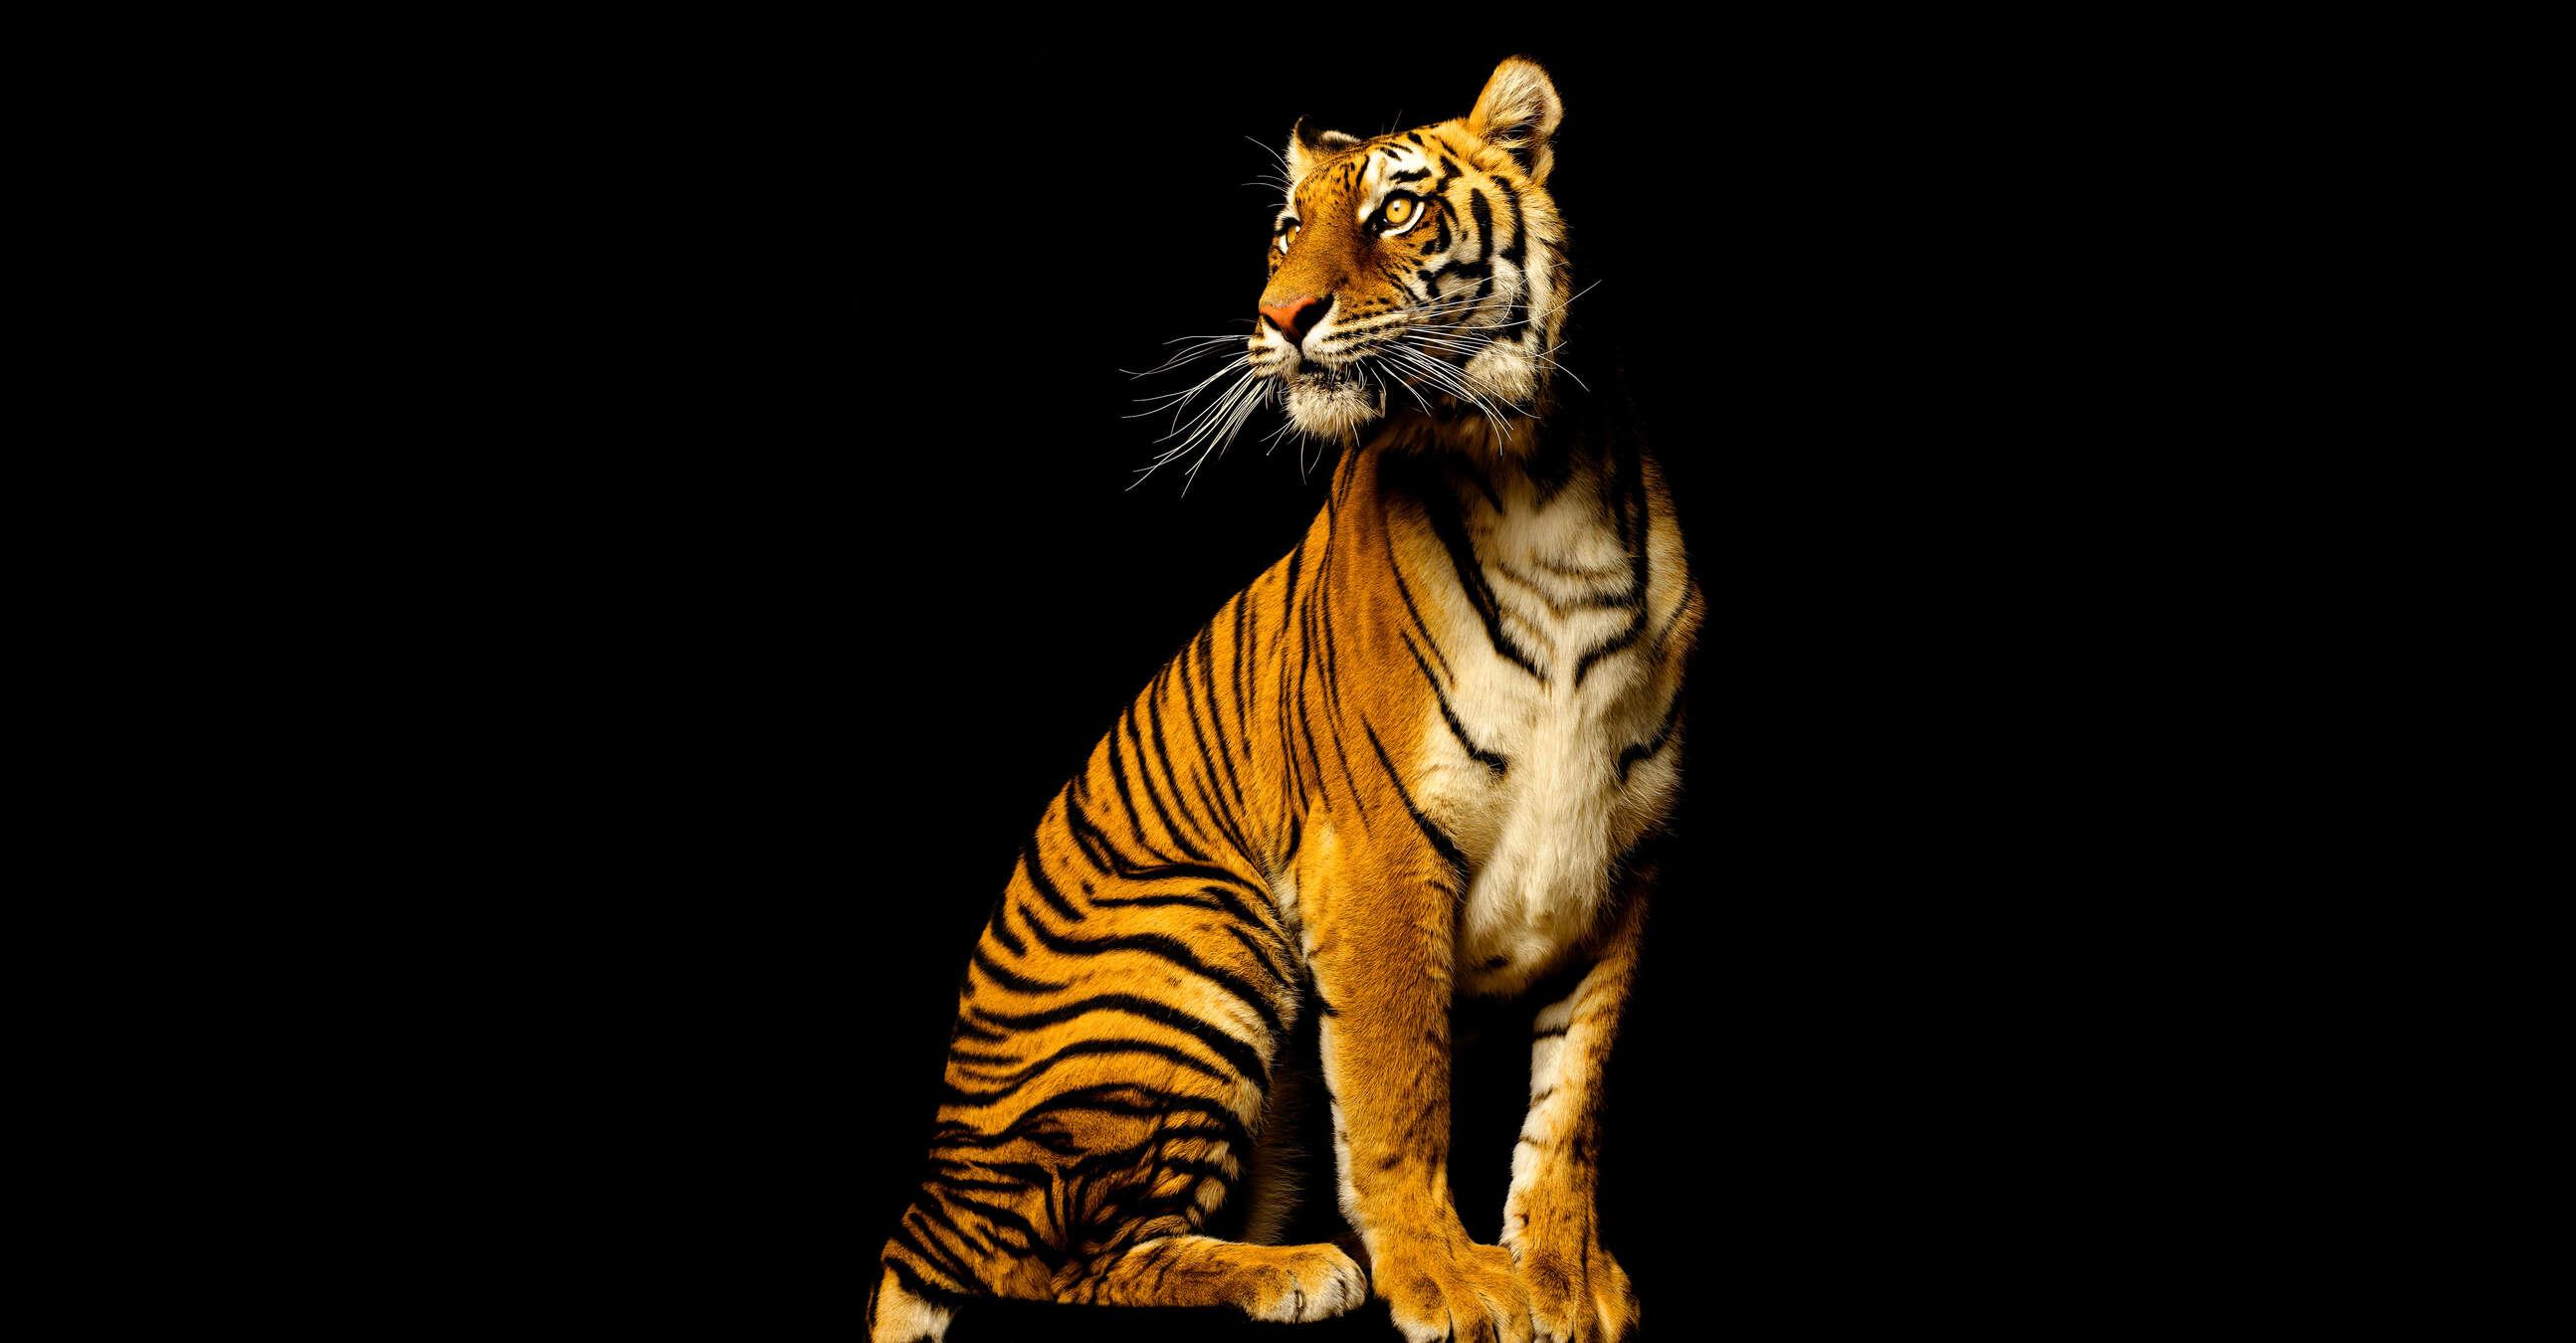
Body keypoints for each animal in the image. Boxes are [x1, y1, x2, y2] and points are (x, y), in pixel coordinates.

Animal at [867, 56, 1699, 1343]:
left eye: (1397, 211)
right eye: (1284, 232)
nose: (1280, 317)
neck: (1534, 475)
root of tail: (934, 1190)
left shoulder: (1623, 855)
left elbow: (1574, 1099)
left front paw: (1564, 1275)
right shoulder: (1377, 847)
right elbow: (1403, 1089)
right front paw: (1450, 1282)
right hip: (1204, 932)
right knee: (1057, 1265)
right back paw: (1294, 1272)